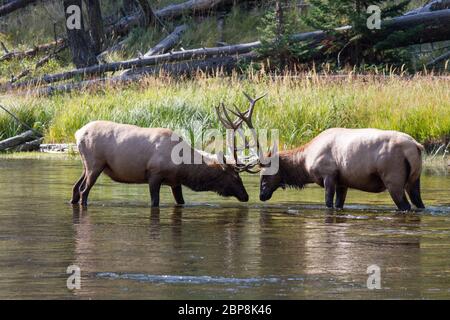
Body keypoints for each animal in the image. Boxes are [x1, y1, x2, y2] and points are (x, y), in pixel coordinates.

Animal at [71, 92, 266, 208]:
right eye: (235, 177)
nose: (246, 196)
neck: (184, 167)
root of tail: (78, 133)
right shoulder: (154, 174)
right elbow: (154, 202)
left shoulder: (175, 182)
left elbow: (181, 202)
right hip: (95, 164)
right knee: (83, 191)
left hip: (86, 164)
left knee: (75, 188)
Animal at [258, 127, 424, 212]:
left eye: (265, 174)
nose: (261, 195)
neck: (305, 161)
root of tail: (417, 146)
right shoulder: (342, 182)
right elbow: (338, 204)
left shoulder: (328, 175)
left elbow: (328, 203)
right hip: (414, 180)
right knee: (419, 204)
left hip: (393, 179)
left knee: (405, 206)